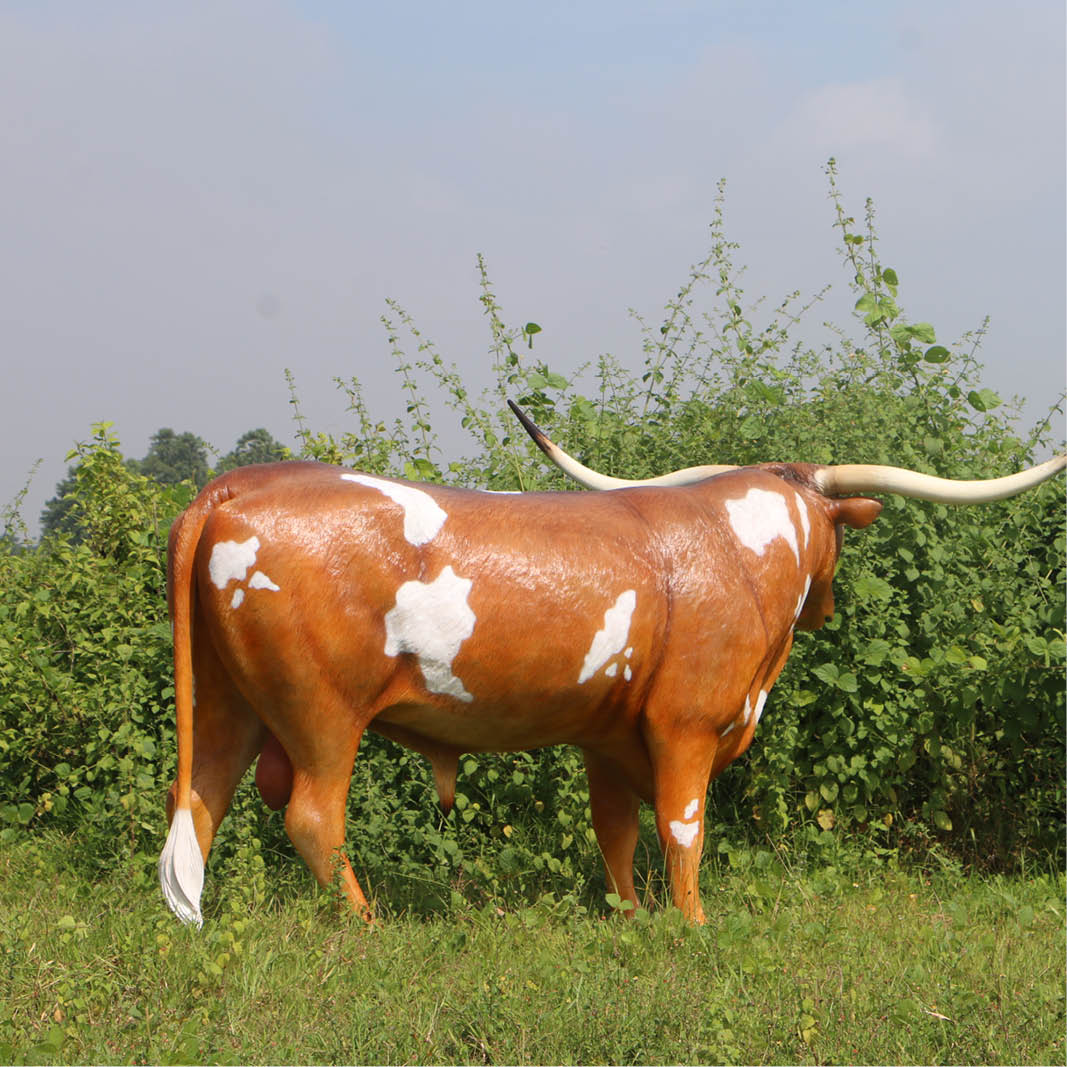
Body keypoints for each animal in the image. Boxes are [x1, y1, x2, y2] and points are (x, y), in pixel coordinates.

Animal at [159, 409, 1065, 927]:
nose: (827, 606)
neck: (737, 547)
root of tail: (239, 485)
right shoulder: (686, 725)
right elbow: (681, 827)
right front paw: (692, 925)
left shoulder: (607, 736)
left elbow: (615, 830)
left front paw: (627, 917)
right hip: (320, 711)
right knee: (314, 816)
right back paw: (364, 924)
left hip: (231, 706)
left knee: (198, 805)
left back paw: (191, 927)